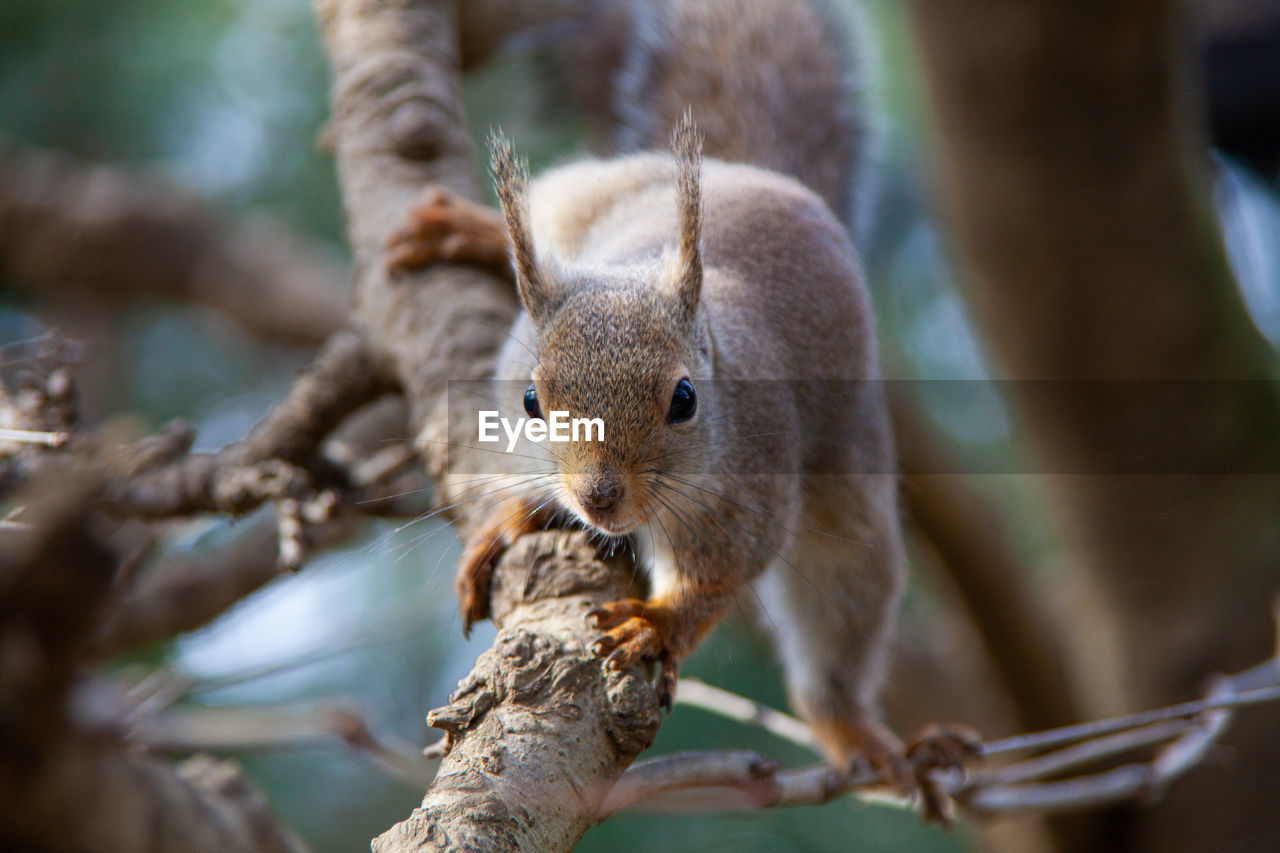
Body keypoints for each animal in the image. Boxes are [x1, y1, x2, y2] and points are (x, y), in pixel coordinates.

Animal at [384, 0, 972, 814]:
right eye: (531, 399)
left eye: (684, 399)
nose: (599, 497)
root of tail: (752, 173)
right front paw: (506, 522)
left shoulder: (752, 485)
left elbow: (726, 572)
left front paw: (658, 623)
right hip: (590, 193)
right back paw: (464, 229)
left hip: (850, 503)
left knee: (840, 613)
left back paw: (865, 735)